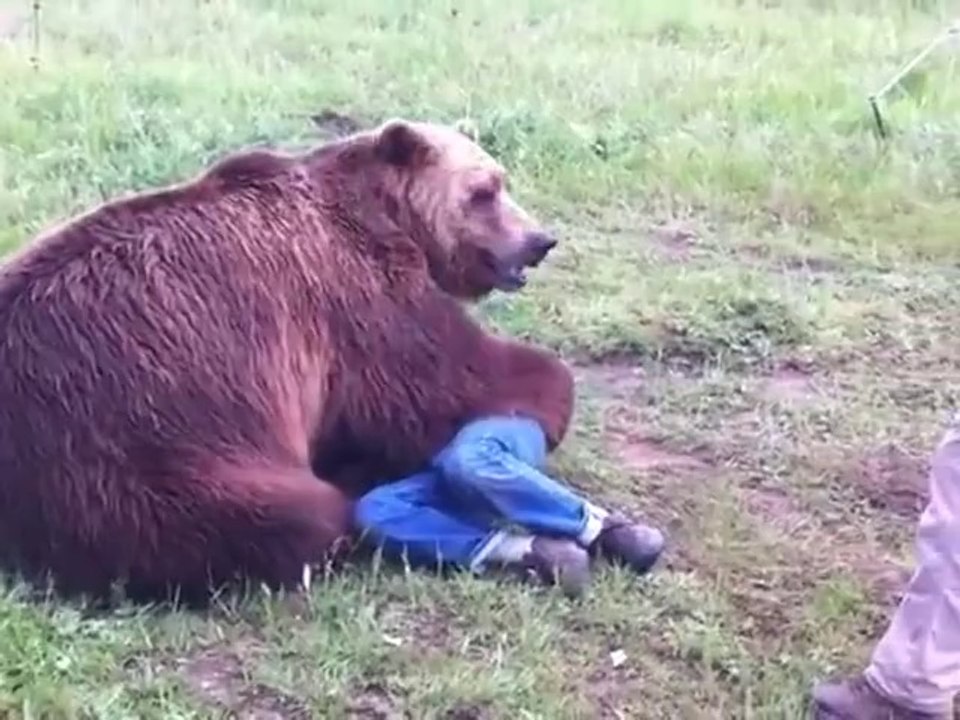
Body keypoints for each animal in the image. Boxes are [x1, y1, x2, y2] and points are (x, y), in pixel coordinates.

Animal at [0, 118, 575, 605]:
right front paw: (546, 390)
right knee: (282, 519)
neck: (392, 217)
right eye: (483, 192)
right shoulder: (356, 292)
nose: (539, 241)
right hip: (138, 441)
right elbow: (438, 385)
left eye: (501, 181)